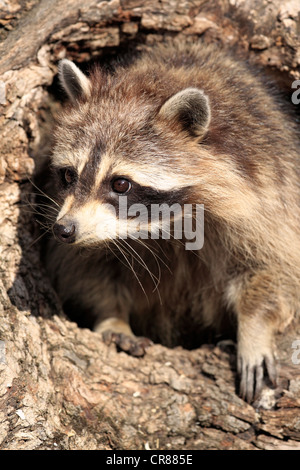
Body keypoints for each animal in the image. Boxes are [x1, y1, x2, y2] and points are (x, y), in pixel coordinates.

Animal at [44, 42, 300, 404]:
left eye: (120, 184)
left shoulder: (269, 189)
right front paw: (111, 317)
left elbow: (273, 265)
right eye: (68, 175)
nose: (64, 230)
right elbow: (85, 270)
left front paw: (255, 327)